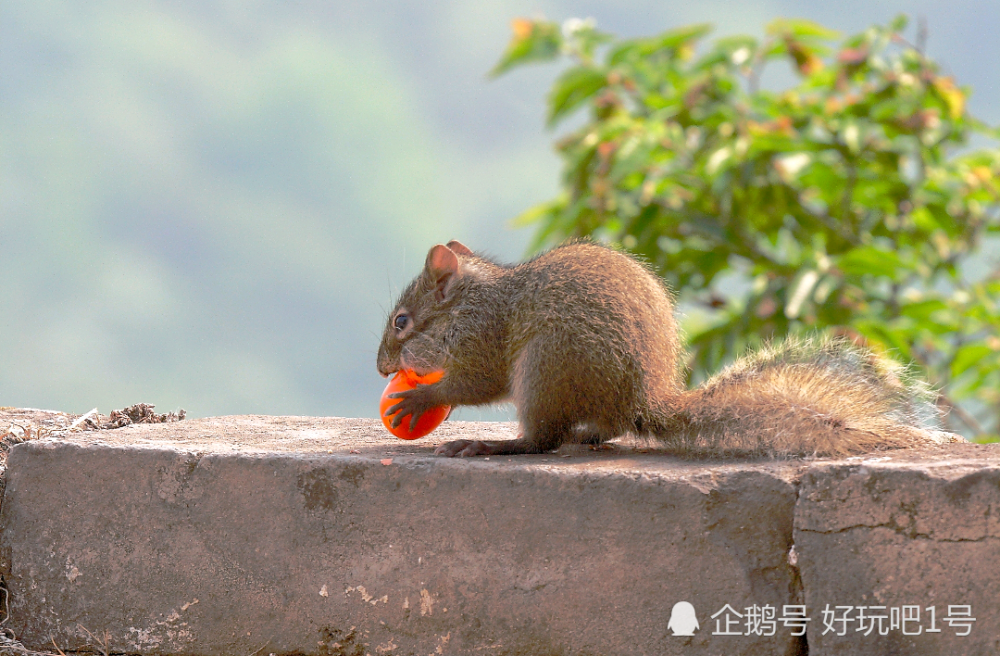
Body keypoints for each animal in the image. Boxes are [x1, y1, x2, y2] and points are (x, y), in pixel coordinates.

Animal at [376, 238, 952, 458]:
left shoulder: (483, 339)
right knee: (598, 430)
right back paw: (588, 435)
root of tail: (645, 399)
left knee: (541, 441)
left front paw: (421, 398)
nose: (381, 367)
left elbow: (476, 383)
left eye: (402, 322)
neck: (470, 302)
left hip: (544, 369)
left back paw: (493, 446)